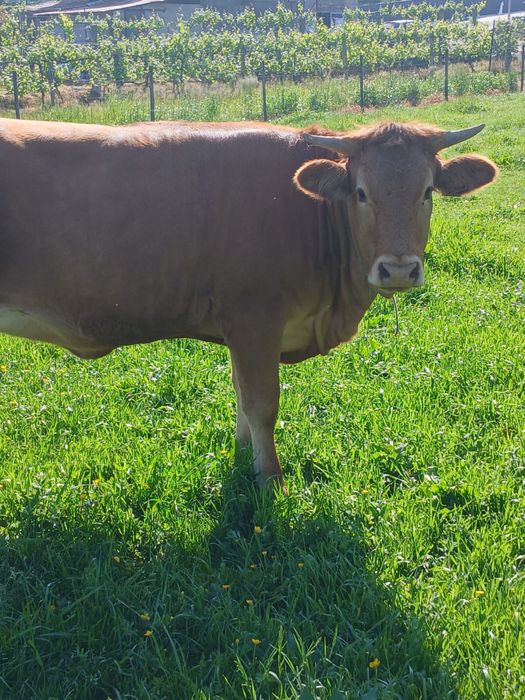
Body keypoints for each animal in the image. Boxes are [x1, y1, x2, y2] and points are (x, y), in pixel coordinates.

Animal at [0, 118, 497, 489]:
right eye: (361, 192)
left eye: (427, 191)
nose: (397, 270)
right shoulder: (255, 321)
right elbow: (262, 402)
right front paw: (271, 478)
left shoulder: (241, 332)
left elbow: (240, 393)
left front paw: (243, 457)